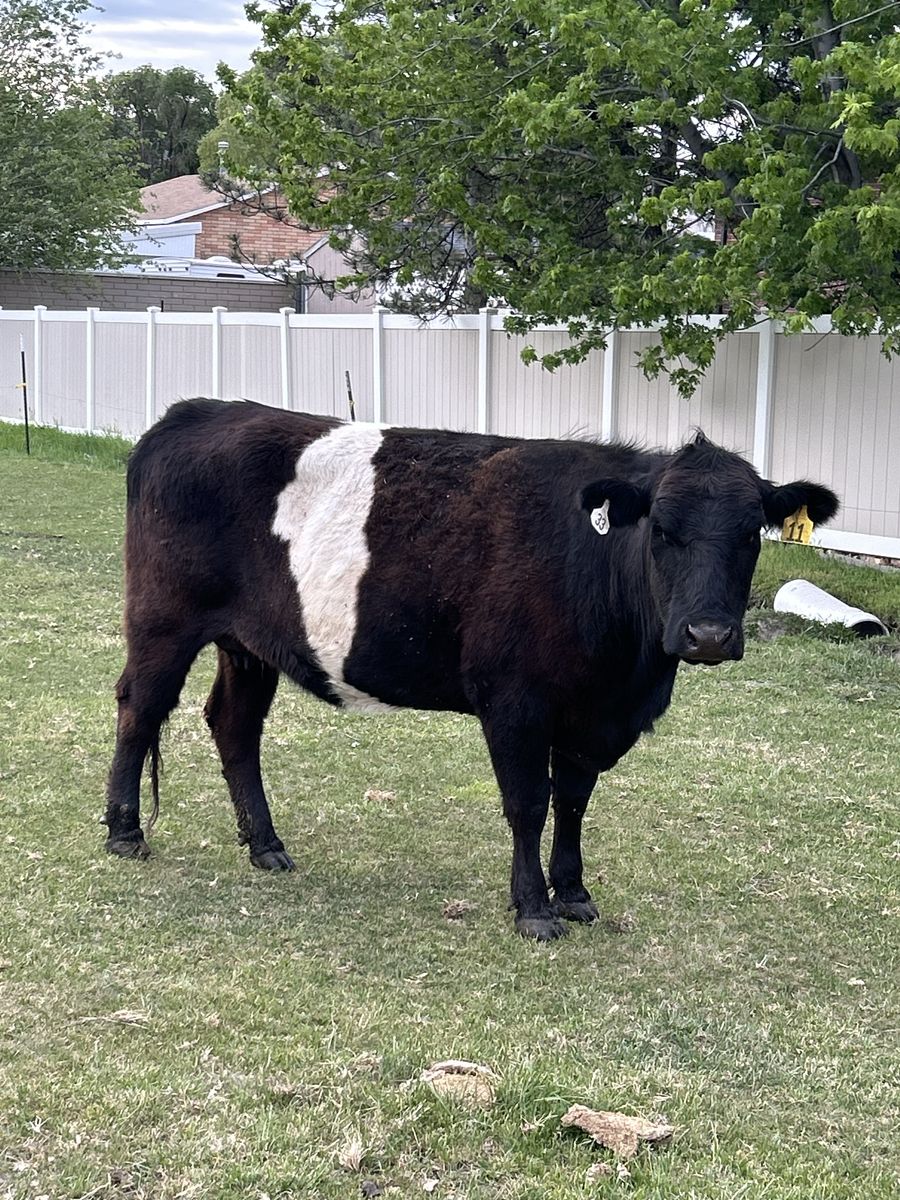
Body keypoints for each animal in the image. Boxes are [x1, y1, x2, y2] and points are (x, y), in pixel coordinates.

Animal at [104, 398, 839, 939]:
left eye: (750, 535)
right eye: (661, 529)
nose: (708, 635)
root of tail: (198, 411)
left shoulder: (593, 717)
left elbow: (574, 800)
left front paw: (574, 892)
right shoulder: (514, 702)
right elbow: (530, 802)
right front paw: (534, 909)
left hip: (250, 643)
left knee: (234, 726)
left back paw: (265, 845)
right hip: (163, 619)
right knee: (140, 707)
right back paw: (125, 832)